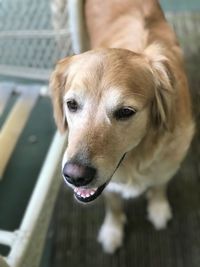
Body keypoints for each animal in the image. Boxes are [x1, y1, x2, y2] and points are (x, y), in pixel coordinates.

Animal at [49, 0, 194, 254]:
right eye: (72, 104)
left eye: (126, 112)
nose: (75, 176)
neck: (137, 157)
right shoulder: (110, 188)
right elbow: (113, 204)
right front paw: (112, 230)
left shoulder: (170, 160)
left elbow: (159, 185)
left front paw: (158, 208)